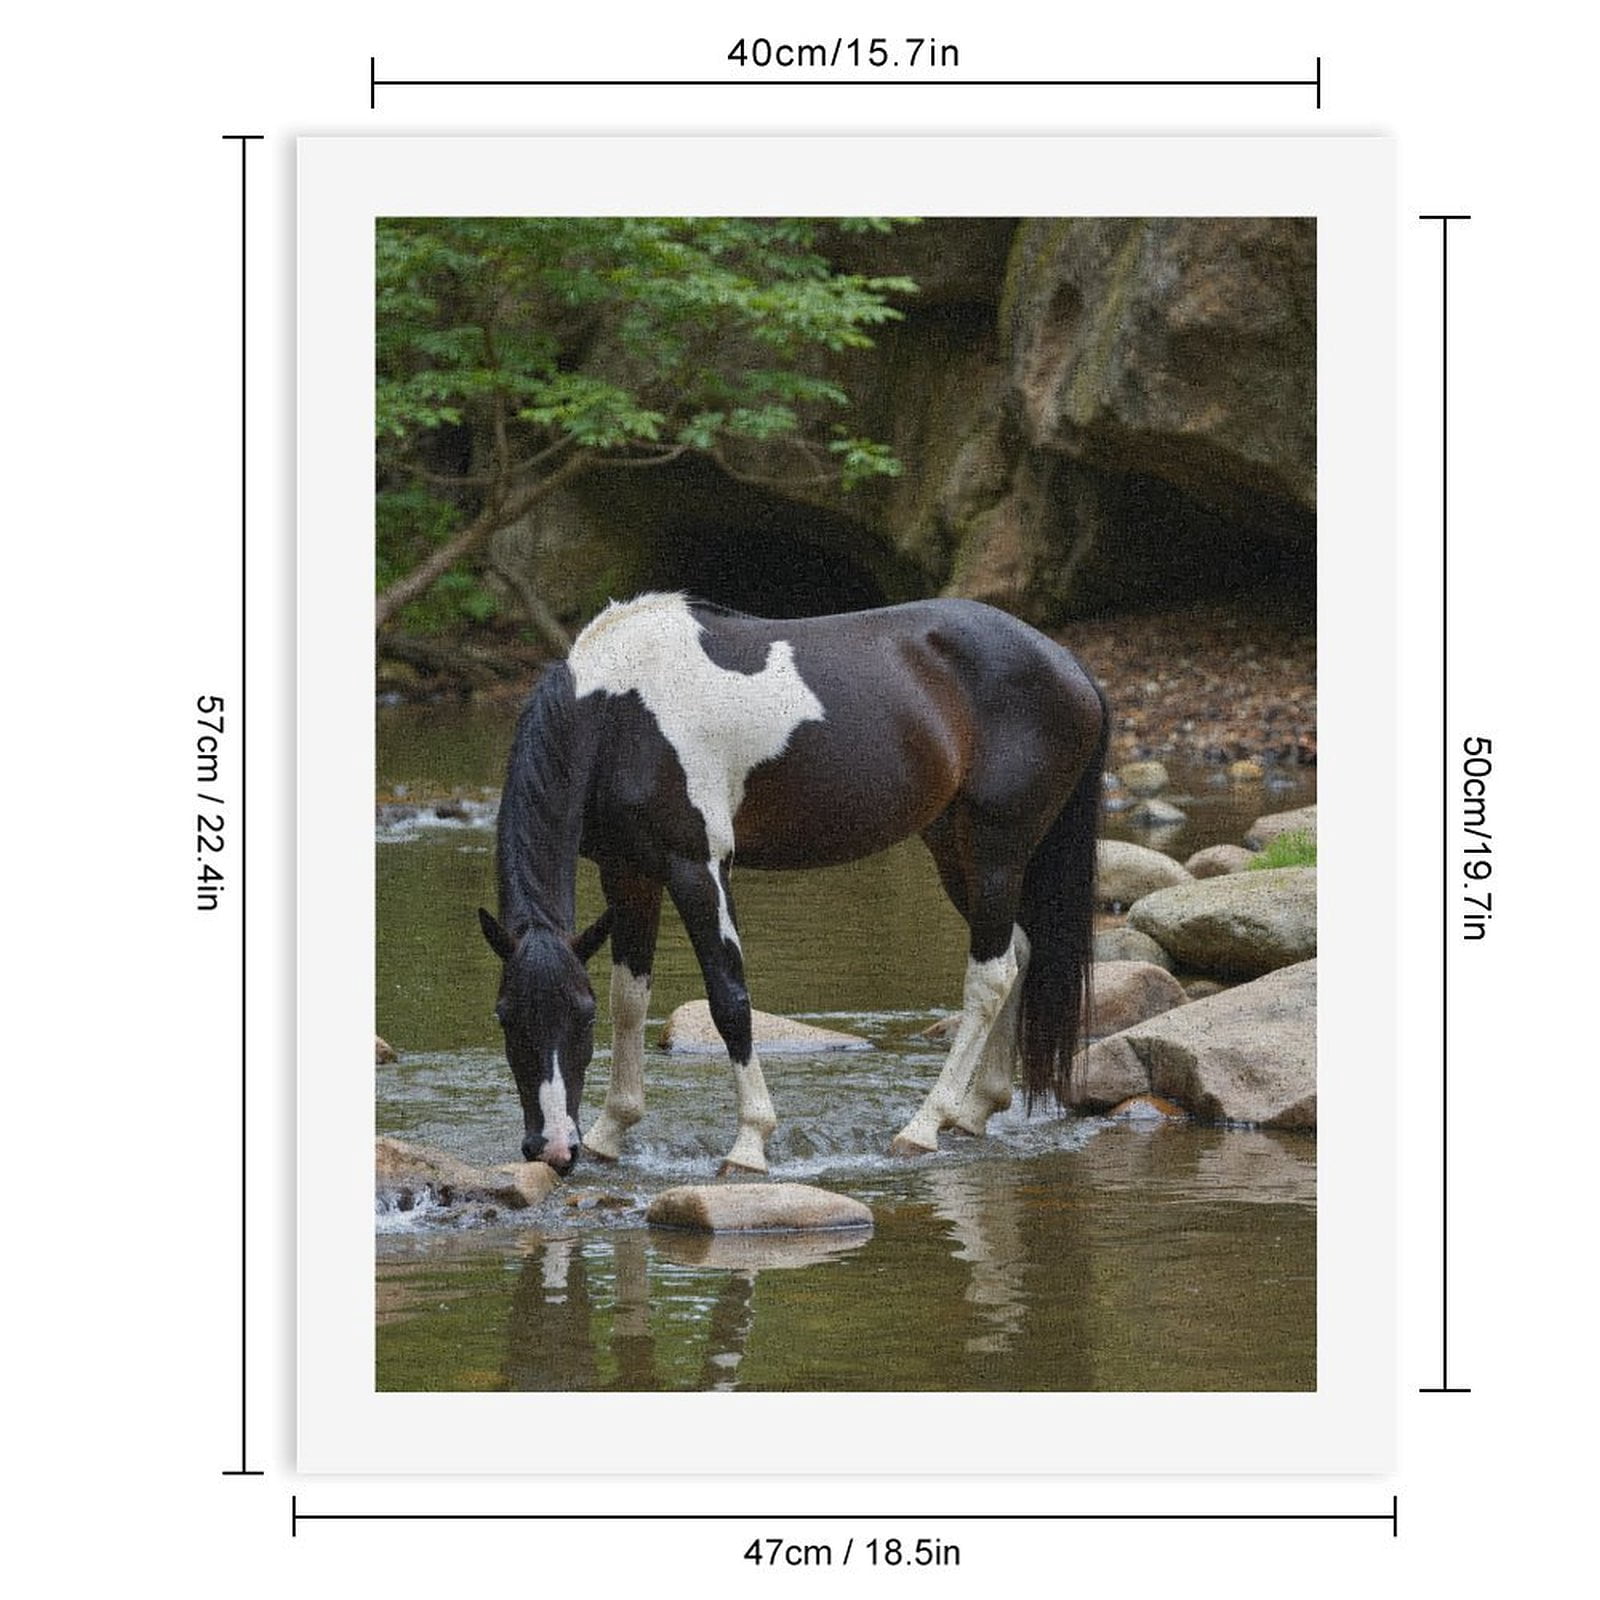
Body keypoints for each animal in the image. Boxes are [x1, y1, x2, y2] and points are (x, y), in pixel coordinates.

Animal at [477, 591, 1109, 1175]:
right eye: (505, 1016)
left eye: (580, 1017)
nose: (553, 1149)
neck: (622, 712)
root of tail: (1070, 666)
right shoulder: (628, 871)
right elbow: (630, 999)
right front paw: (611, 1132)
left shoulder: (697, 866)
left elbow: (730, 999)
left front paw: (750, 1143)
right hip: (956, 850)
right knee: (1019, 952)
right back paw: (978, 1110)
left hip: (997, 848)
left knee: (989, 976)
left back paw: (923, 1126)